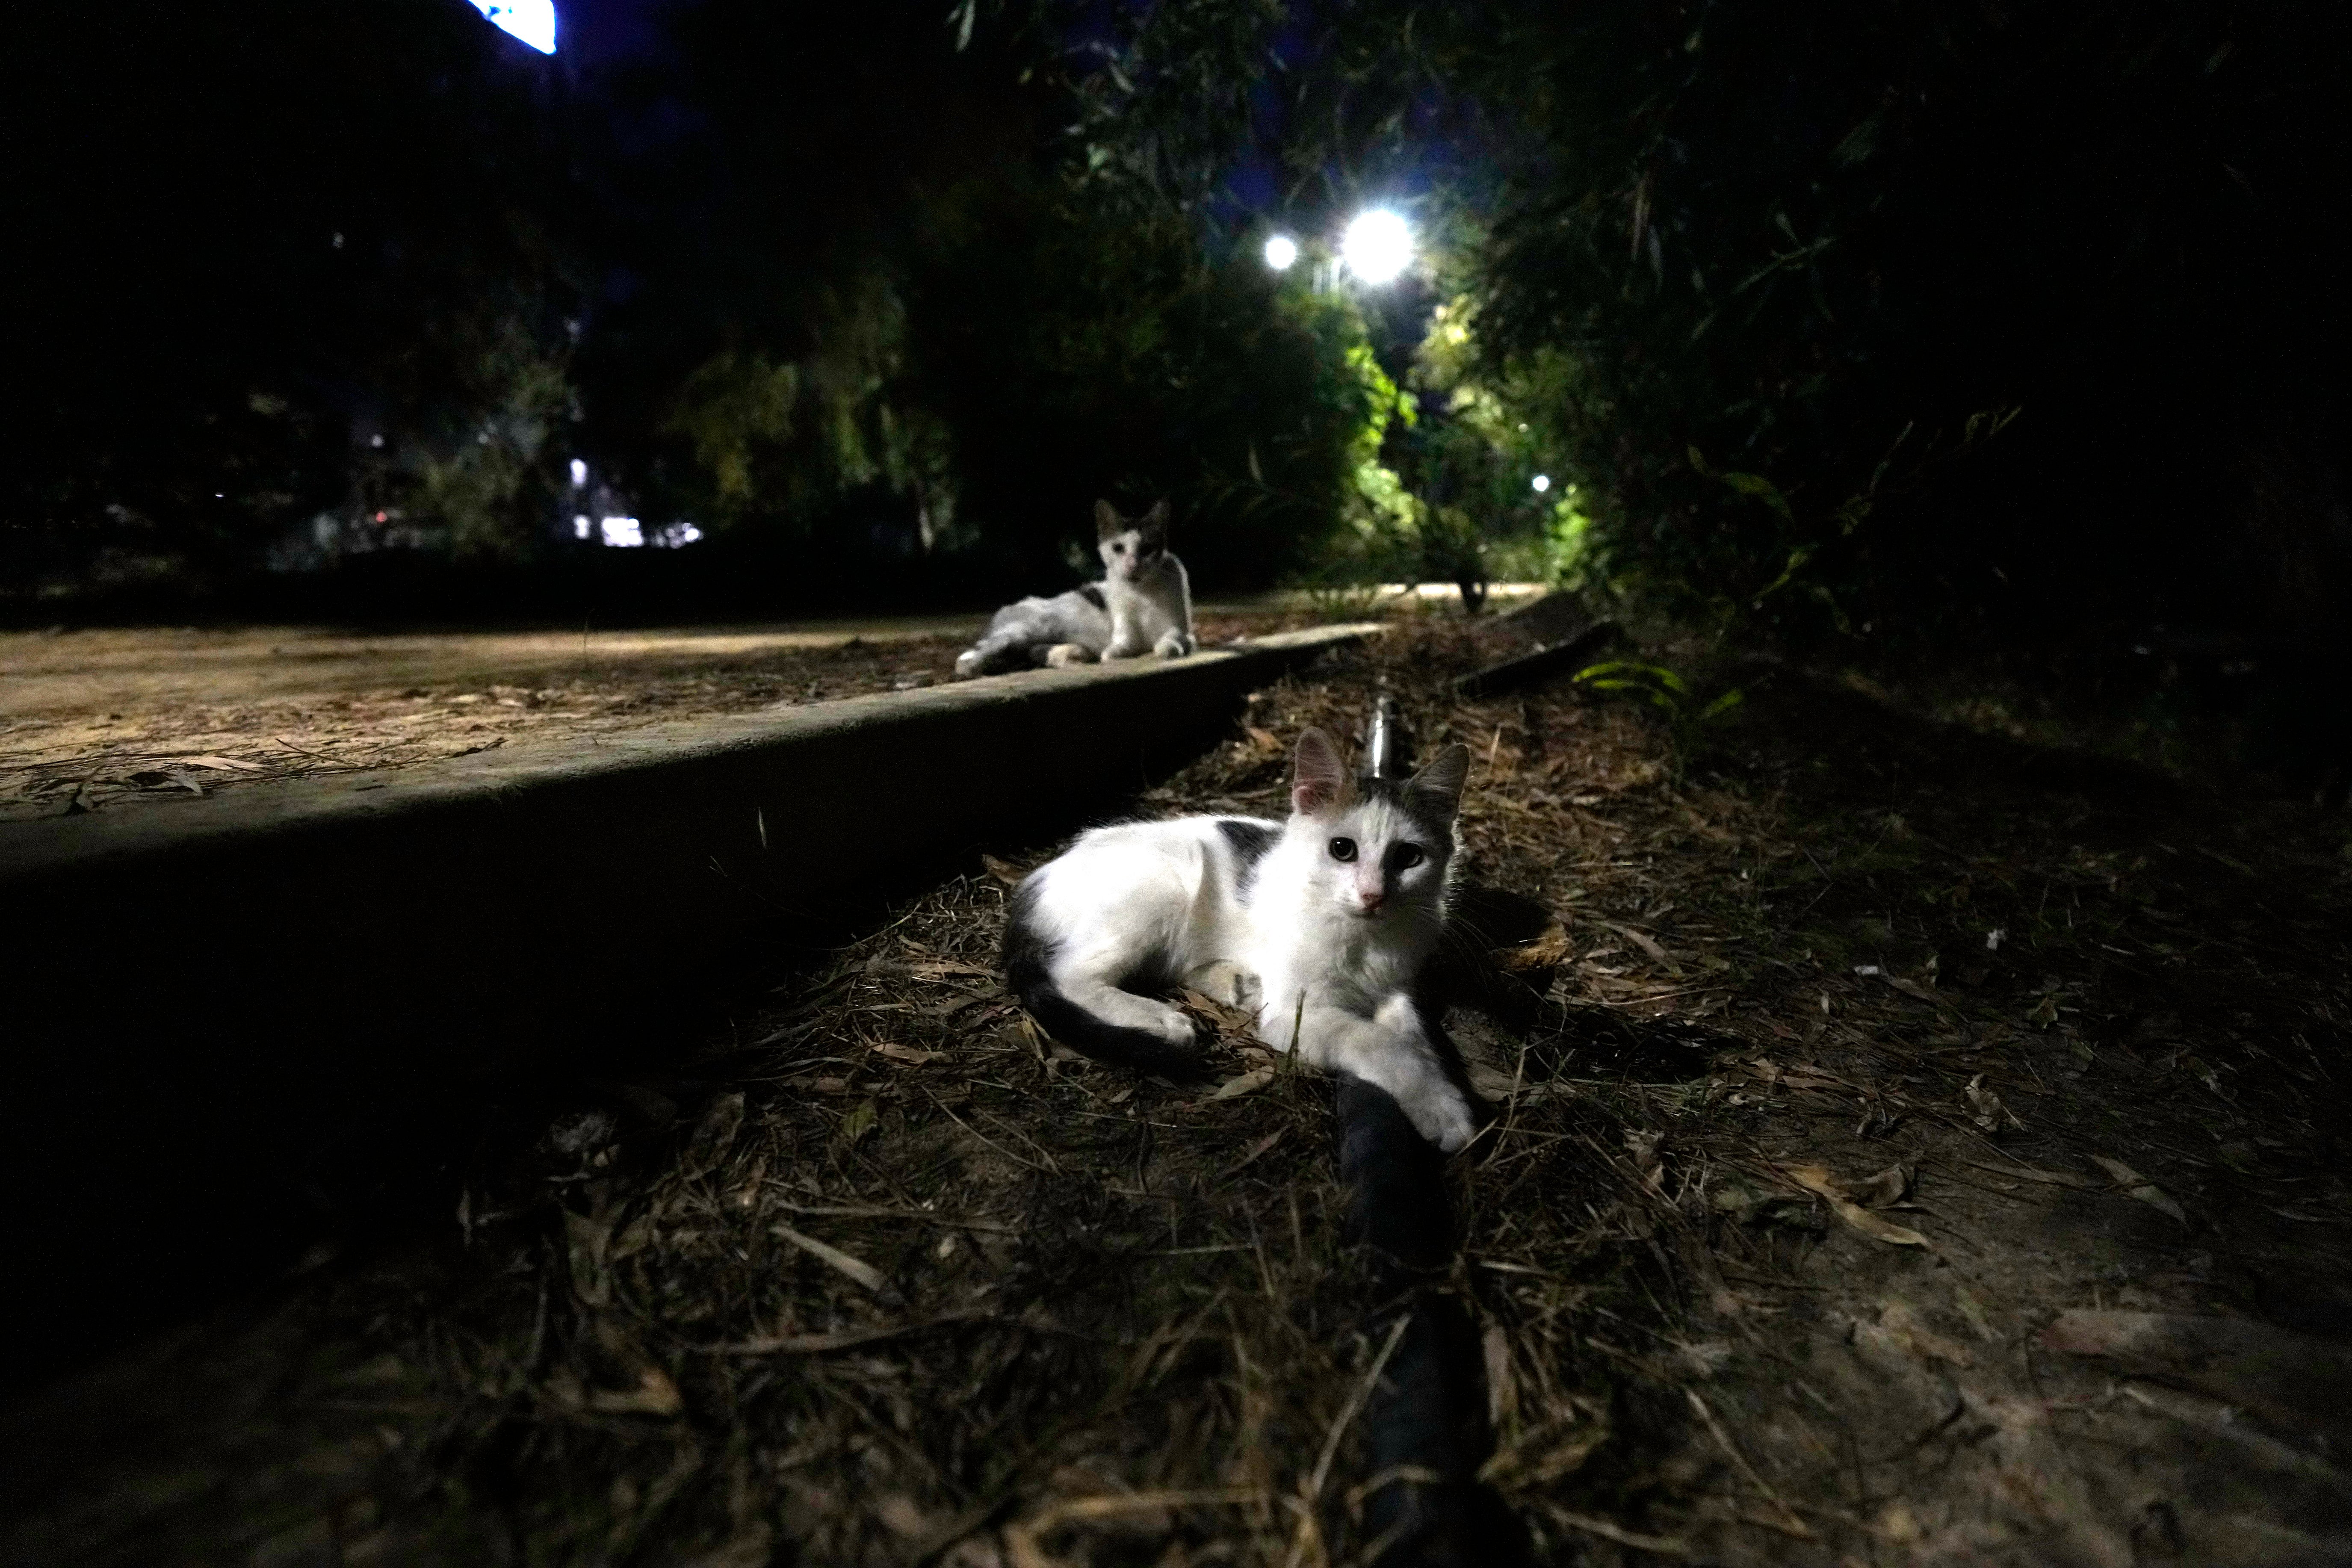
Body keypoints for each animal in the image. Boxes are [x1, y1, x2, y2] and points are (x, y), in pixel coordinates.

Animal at [950, 501, 1195, 677]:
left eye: (1147, 550)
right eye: (1118, 548)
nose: (1132, 566)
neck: (1142, 593)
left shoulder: (1185, 631)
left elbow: (1172, 639)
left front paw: (1167, 648)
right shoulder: (1124, 634)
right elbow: (1118, 648)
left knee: (1031, 652)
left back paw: (1071, 655)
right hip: (1026, 630)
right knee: (968, 658)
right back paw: (975, 668)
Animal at [1002, 729, 1477, 1152]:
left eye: (1409, 857)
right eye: (1342, 849)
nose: (1373, 896)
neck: (1363, 937)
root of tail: (1038, 878)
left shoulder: (1395, 988)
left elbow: (1412, 1035)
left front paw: (1436, 1089)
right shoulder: (1293, 1014)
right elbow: (1375, 1040)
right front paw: (1441, 1109)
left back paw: (1234, 982)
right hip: (1168, 881)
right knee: (1071, 974)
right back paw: (1158, 1018)